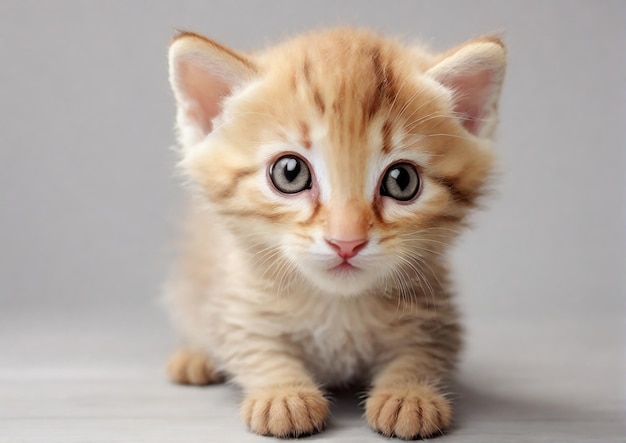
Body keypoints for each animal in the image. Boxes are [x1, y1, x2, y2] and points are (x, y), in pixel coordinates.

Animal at [165, 28, 502, 440]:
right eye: (290, 173)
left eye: (402, 180)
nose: (347, 241)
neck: (337, 304)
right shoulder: (238, 303)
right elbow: (254, 348)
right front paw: (283, 396)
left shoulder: (434, 312)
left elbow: (424, 353)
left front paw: (409, 395)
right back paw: (194, 357)